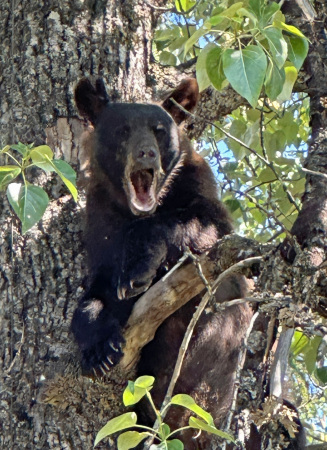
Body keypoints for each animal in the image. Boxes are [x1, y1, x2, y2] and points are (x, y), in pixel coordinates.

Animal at [73, 79, 304, 448]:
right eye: (123, 130)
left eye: (159, 130)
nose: (147, 153)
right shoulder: (100, 223)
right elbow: (97, 289)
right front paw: (99, 346)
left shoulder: (197, 188)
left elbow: (202, 226)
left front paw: (138, 268)